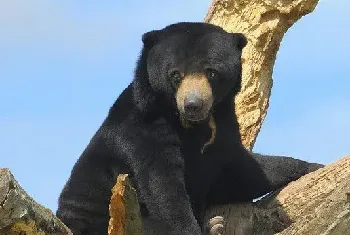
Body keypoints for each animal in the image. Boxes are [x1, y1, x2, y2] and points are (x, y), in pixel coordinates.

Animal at [56, 22, 322, 235]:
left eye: (212, 72)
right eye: (176, 74)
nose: (193, 104)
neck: (193, 125)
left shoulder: (223, 131)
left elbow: (240, 171)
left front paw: (312, 167)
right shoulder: (143, 130)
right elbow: (163, 186)